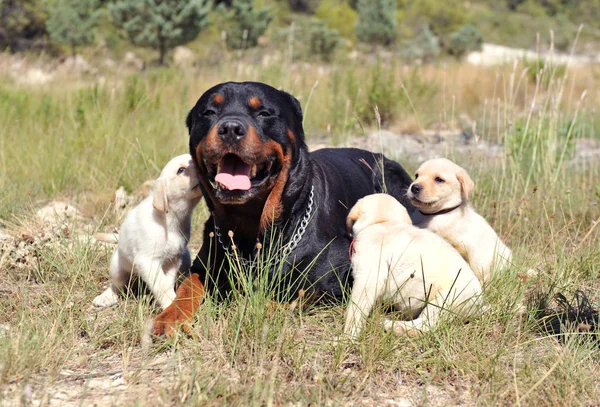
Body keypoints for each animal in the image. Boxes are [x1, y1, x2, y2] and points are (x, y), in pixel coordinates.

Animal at [92, 155, 203, 310]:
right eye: (181, 170)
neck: (170, 219)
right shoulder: (148, 260)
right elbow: (161, 284)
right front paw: (170, 303)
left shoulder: (173, 259)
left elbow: (166, 282)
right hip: (117, 266)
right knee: (117, 285)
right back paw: (106, 297)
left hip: (185, 258)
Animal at [152, 81, 414, 336]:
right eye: (208, 112)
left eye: (264, 113)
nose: (230, 128)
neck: (250, 224)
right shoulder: (206, 260)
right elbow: (188, 286)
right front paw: (169, 317)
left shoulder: (339, 276)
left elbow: (287, 298)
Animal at [342, 194, 482, 342]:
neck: (384, 223)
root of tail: (479, 303)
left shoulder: (367, 279)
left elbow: (354, 312)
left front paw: (345, 338)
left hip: (443, 301)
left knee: (426, 325)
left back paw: (393, 326)